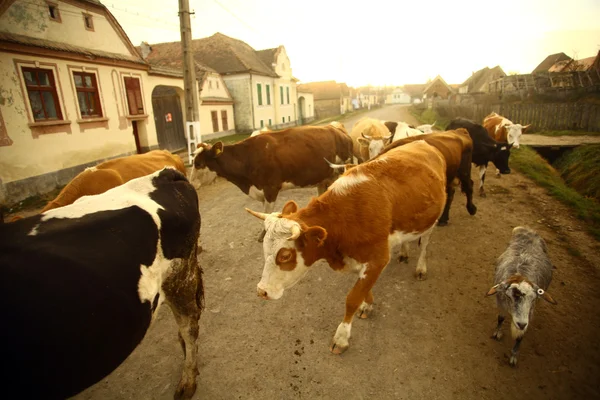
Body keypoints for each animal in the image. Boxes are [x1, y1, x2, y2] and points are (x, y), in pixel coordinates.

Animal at [190, 124, 354, 241]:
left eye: (198, 163)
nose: (191, 183)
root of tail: (338, 130)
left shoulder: (270, 188)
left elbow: (267, 213)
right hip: (323, 178)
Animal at [246, 141, 448, 354]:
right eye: (265, 249)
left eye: (285, 256)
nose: (261, 291)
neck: (345, 217)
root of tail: (421, 141)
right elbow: (363, 290)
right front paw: (367, 305)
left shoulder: (378, 259)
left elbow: (352, 298)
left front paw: (341, 337)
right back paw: (404, 252)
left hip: (431, 220)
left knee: (425, 244)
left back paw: (421, 268)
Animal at [486, 225, 556, 366]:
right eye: (510, 296)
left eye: (533, 298)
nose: (522, 324)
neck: (520, 274)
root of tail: (529, 230)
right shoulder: (501, 303)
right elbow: (500, 318)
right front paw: (497, 332)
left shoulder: (529, 313)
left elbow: (520, 336)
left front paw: (513, 356)